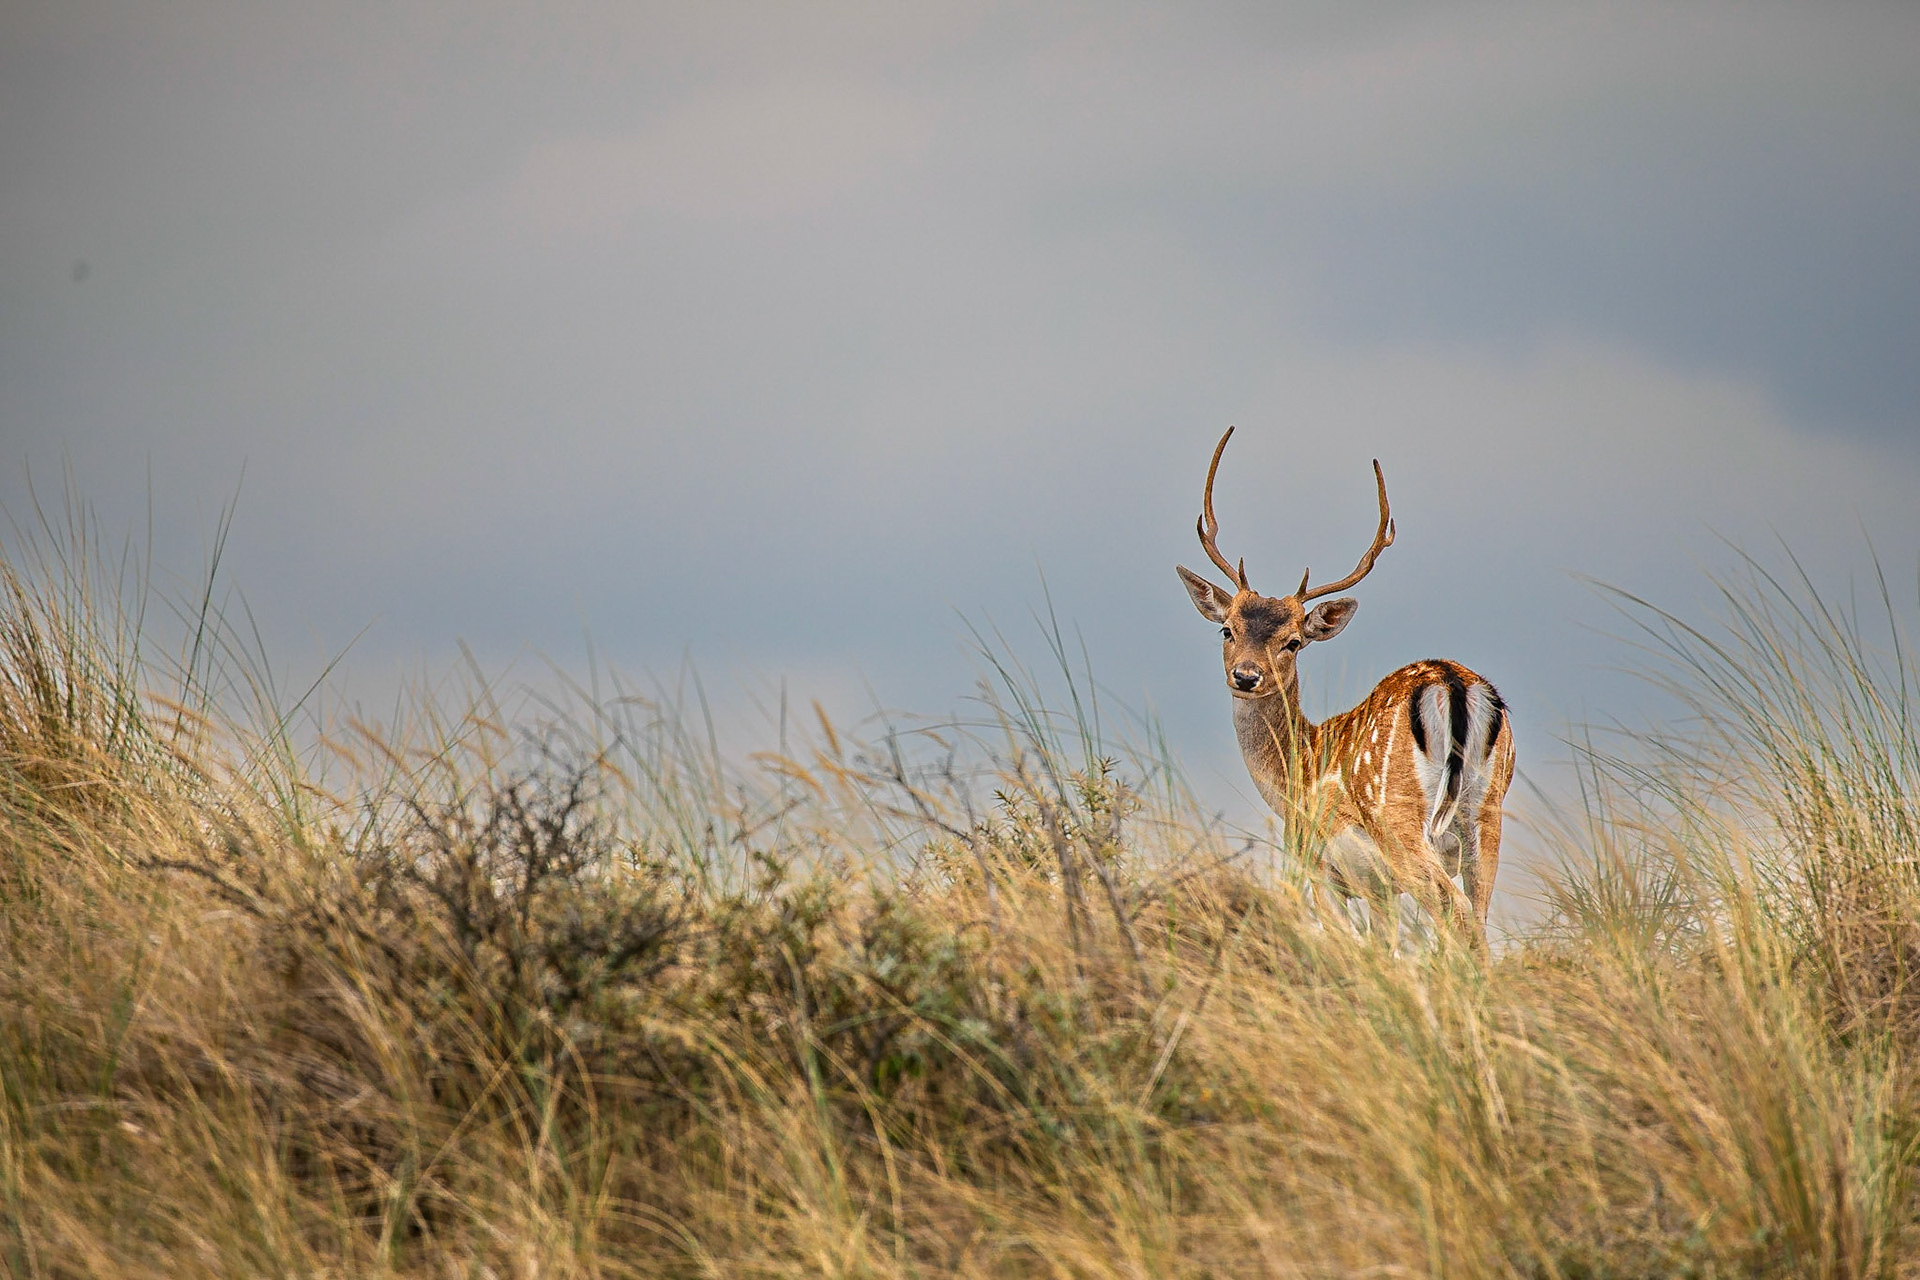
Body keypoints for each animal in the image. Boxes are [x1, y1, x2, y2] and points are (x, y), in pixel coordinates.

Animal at [1176, 427, 1514, 956]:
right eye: (1227, 629)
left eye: (1293, 642)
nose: (1246, 676)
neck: (1292, 780)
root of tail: (1452, 682)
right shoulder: (1379, 891)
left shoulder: (1315, 862)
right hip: (1487, 812)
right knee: (1478, 918)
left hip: (1397, 816)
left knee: (1455, 913)